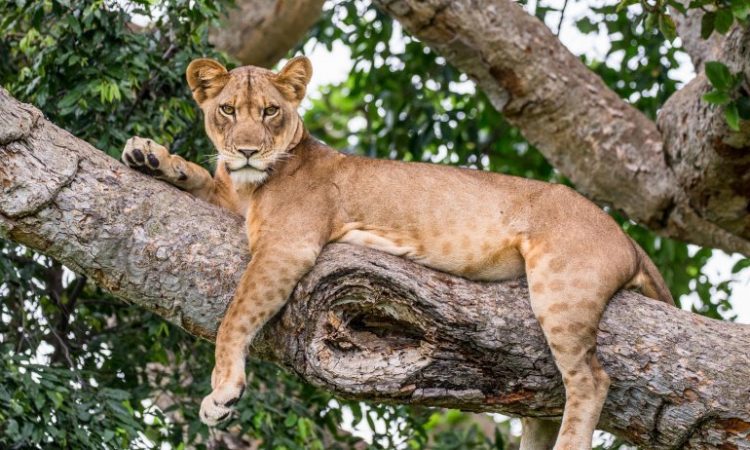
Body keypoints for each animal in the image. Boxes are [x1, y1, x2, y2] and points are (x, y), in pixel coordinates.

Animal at [122, 56, 673, 450]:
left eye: (270, 112)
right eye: (229, 110)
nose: (248, 151)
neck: (250, 185)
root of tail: (626, 237)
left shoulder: (286, 245)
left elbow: (235, 315)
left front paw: (223, 391)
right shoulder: (234, 203)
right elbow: (199, 176)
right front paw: (149, 155)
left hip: (562, 286)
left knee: (590, 379)